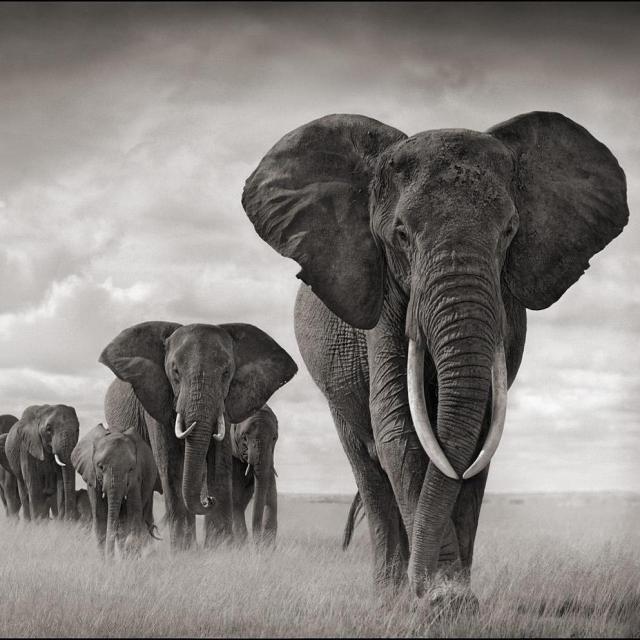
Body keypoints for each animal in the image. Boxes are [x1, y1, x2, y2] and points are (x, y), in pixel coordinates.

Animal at [71, 423, 160, 557]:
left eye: (131, 469)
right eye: (100, 467)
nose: (110, 558)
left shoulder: (136, 478)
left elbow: (133, 514)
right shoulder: (92, 476)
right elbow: (100, 517)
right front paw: (105, 561)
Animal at [230, 404, 279, 546]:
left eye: (274, 438)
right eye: (244, 437)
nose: (256, 544)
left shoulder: (270, 459)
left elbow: (271, 497)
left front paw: (266, 547)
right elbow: (235, 499)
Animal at [241, 111, 628, 597]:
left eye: (509, 231)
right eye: (401, 234)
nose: (426, 587)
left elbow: (479, 434)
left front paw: (451, 596)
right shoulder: (384, 299)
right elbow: (399, 428)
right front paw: (439, 600)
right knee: (368, 467)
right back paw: (389, 594)